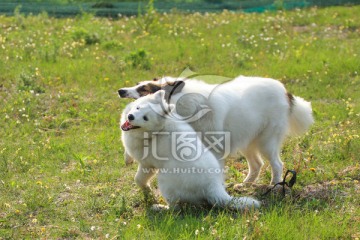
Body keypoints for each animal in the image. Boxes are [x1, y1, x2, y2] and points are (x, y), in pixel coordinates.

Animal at [119, 76, 314, 185]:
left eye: (143, 90)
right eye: (137, 84)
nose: (120, 90)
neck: (181, 102)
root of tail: (284, 91)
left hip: (266, 141)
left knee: (277, 164)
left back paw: (274, 185)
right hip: (248, 140)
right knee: (257, 165)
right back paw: (245, 185)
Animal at [121, 91, 262, 211]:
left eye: (145, 118)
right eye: (138, 108)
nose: (130, 116)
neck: (156, 132)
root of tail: (213, 185)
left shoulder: (147, 165)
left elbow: (138, 179)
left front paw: (147, 191)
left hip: (164, 180)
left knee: (175, 208)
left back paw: (160, 208)